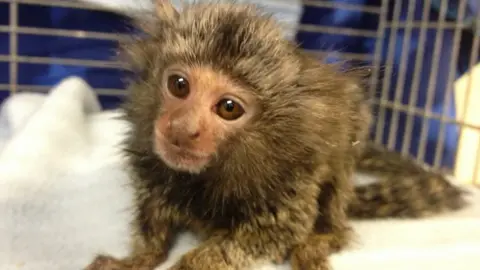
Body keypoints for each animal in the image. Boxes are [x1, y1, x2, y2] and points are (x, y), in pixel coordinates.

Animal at [85, 1, 468, 268]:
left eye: (228, 108)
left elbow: (273, 233)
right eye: (179, 85)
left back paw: (318, 243)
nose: (183, 128)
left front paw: (190, 263)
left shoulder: (292, 184)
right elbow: (151, 216)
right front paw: (138, 259)